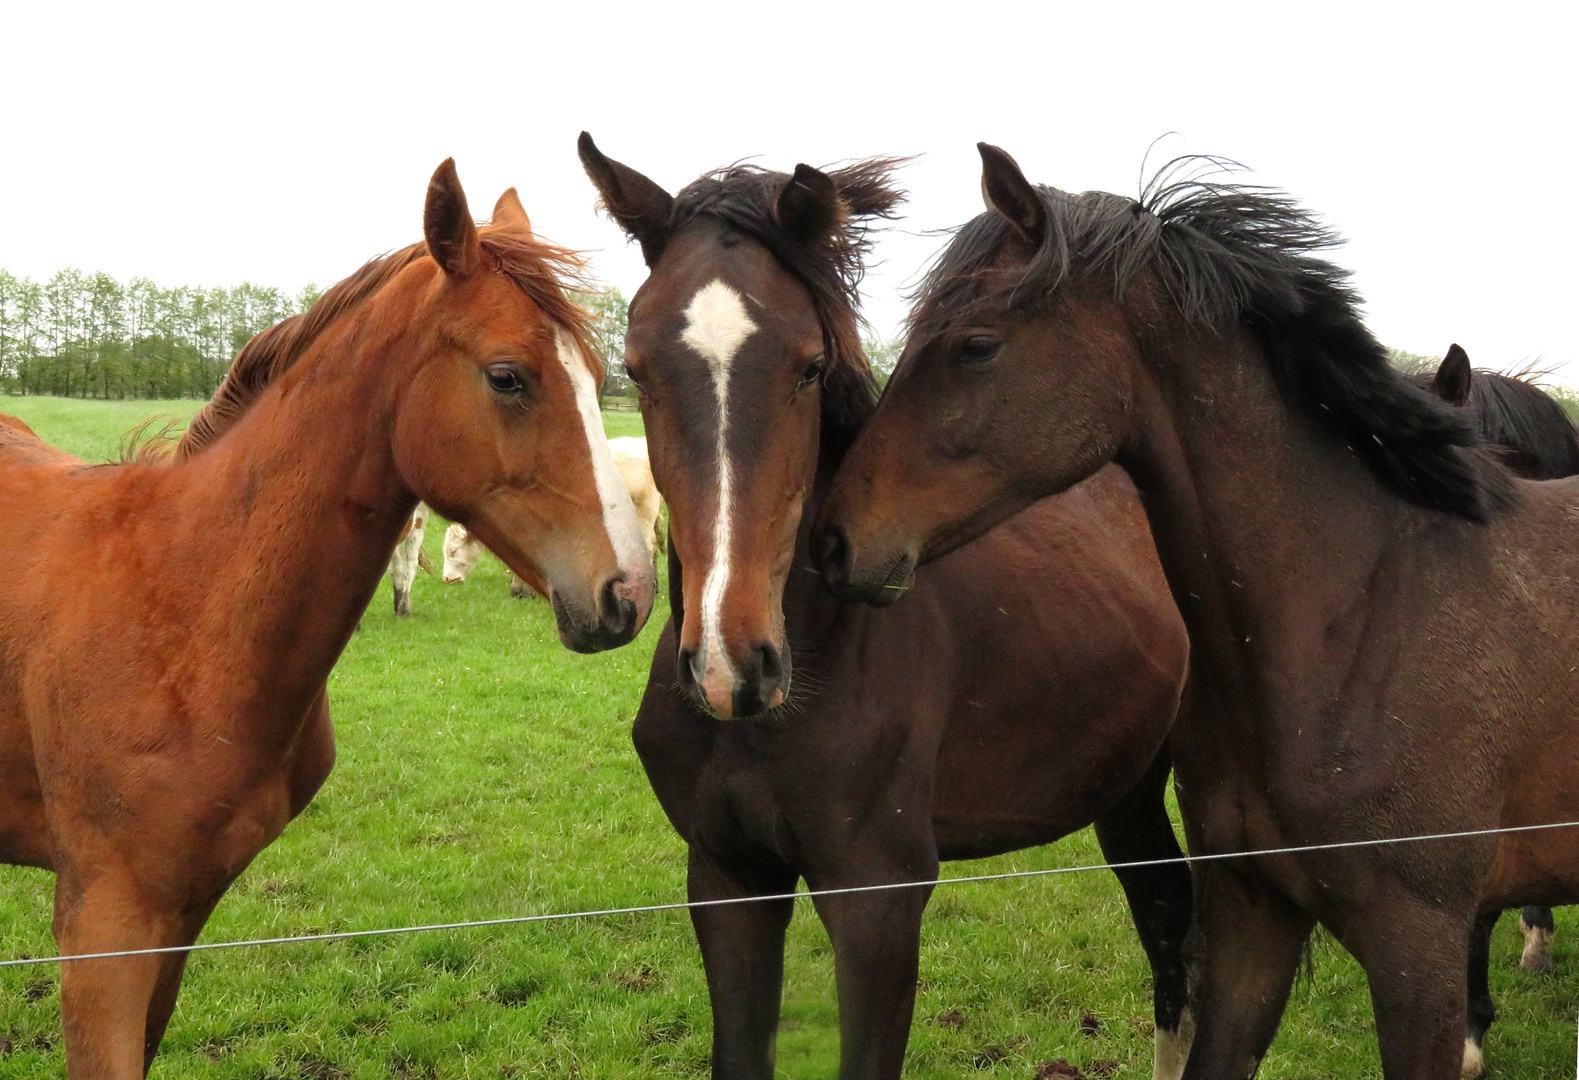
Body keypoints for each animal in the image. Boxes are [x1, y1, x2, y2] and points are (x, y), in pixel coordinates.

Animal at [0, 162, 653, 1080]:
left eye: (599, 377)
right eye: (507, 376)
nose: (628, 593)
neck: (185, 605)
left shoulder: (180, 915)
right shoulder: (104, 928)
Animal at [581, 135, 1193, 1080]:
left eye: (808, 365)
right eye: (637, 371)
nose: (731, 666)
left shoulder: (877, 902)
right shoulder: (727, 882)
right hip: (1125, 787)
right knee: (1163, 909)